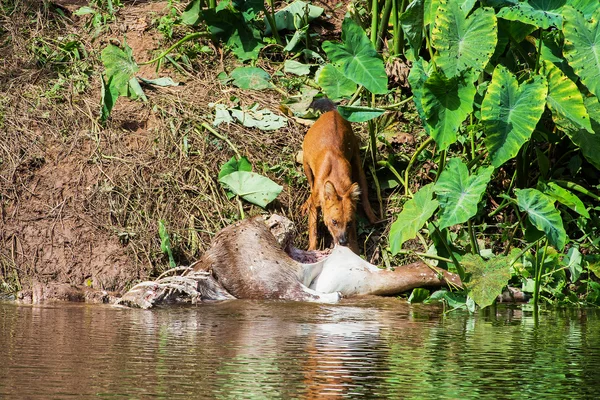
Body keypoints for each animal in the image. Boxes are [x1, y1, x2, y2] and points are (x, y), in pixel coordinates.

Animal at [302, 100, 378, 253]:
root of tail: (334, 111)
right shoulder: (316, 204)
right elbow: (313, 230)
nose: (343, 241)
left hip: (357, 160)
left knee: (364, 192)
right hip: (305, 161)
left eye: (348, 223)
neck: (336, 182)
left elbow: (354, 241)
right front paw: (312, 249)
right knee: (310, 184)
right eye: (334, 222)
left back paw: (371, 215)